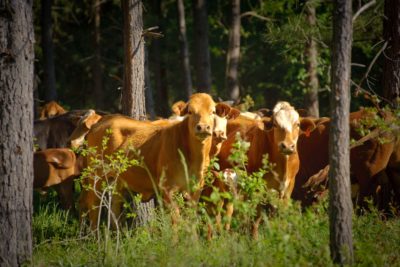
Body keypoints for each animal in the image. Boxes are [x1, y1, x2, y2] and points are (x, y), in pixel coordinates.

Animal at [78, 93, 234, 229]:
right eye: (190, 111)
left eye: (212, 112)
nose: (203, 127)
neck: (192, 158)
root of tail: (104, 119)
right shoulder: (167, 188)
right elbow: (175, 220)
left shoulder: (196, 188)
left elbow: (190, 218)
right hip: (95, 176)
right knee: (94, 208)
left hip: (117, 181)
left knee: (114, 210)